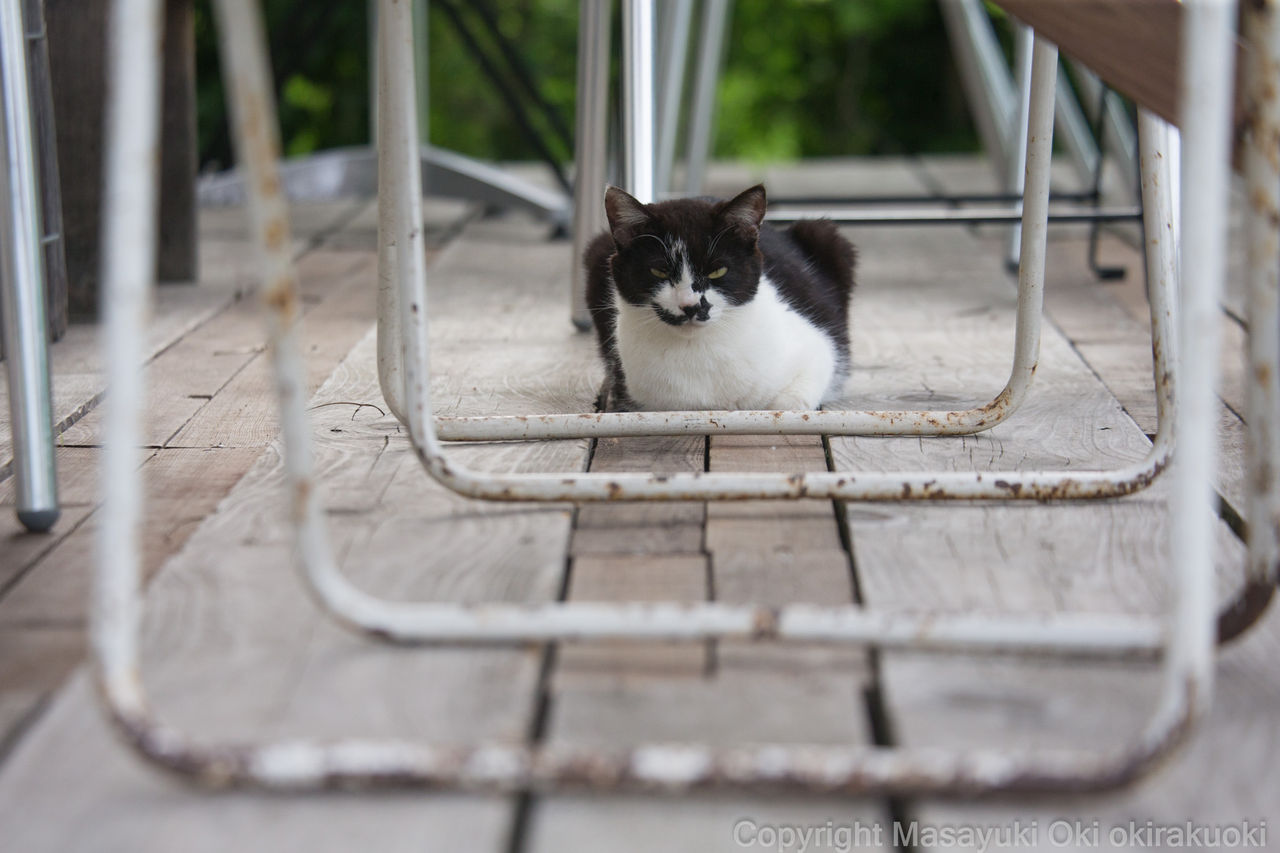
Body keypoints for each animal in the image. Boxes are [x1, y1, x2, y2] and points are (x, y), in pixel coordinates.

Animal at [586, 183, 855, 412]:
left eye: (718, 271)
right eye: (659, 271)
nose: (690, 306)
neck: (695, 350)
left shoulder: (818, 347)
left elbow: (791, 400)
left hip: (826, 235)